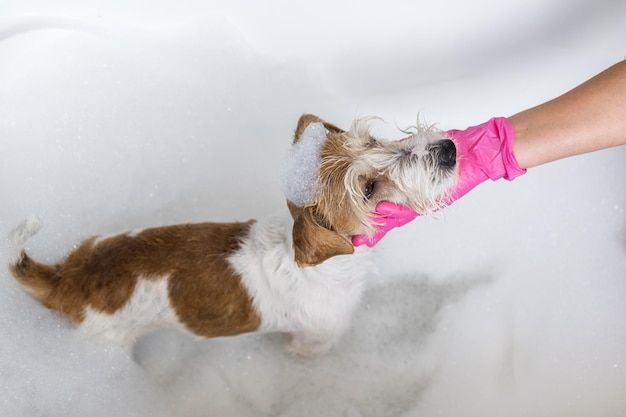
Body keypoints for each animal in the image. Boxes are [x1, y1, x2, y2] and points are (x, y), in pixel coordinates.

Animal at [6, 114, 458, 358]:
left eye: (373, 140)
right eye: (368, 188)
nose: (449, 150)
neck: (333, 262)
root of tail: (67, 278)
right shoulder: (314, 340)